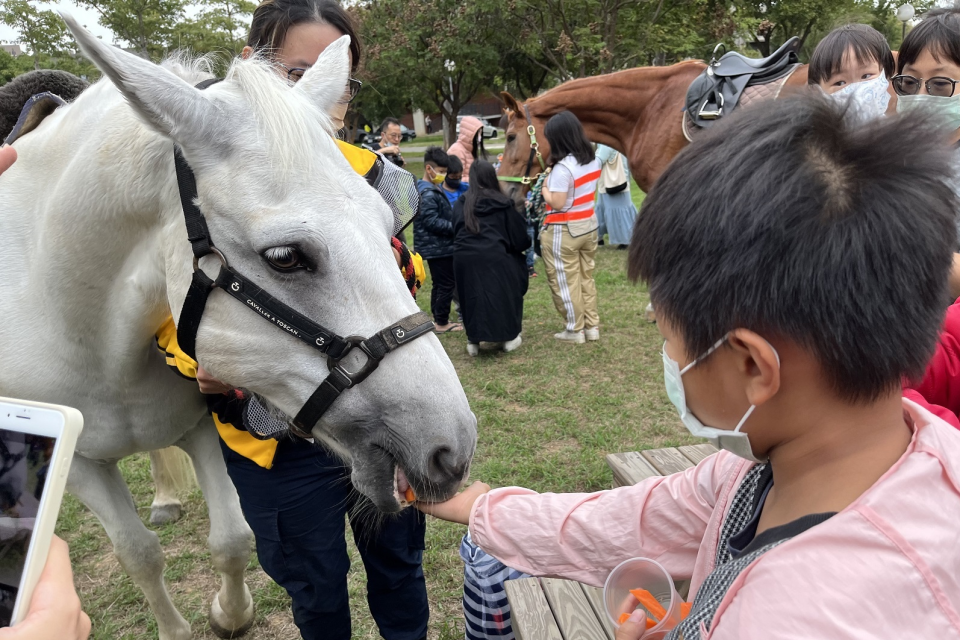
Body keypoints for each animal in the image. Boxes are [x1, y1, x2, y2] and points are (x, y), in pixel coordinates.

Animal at [0, 15, 476, 640]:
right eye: (285, 257)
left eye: (386, 226)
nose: (452, 449)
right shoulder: (74, 462)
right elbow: (138, 553)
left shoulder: (203, 426)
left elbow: (232, 538)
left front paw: (230, 614)